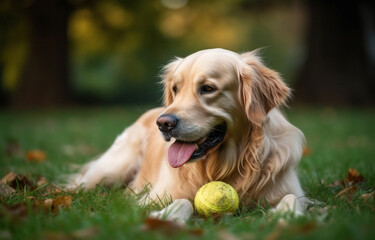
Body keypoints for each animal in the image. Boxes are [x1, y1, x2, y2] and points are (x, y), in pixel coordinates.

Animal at [70, 48, 308, 223]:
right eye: (175, 89)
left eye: (208, 88)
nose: (163, 123)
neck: (225, 166)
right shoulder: (154, 196)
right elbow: (184, 201)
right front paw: (169, 215)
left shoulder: (292, 190)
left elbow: (293, 198)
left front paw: (286, 214)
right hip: (112, 170)